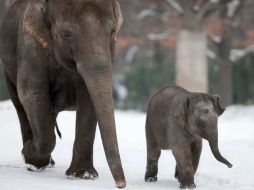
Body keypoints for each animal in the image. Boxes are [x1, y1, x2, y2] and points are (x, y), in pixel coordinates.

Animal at [0, 0, 126, 187]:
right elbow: (32, 92)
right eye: (66, 34)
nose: (121, 184)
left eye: (111, 31)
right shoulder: (29, 45)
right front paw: (30, 157)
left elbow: (88, 98)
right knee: (20, 105)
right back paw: (32, 160)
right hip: (8, 68)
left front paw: (83, 175)